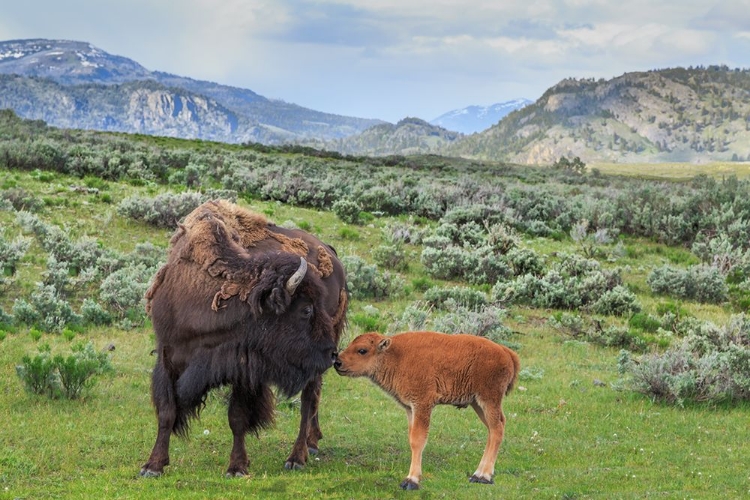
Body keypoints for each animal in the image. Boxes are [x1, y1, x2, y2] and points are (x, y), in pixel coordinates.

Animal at [140, 199, 348, 476]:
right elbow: (166, 412)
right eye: (306, 309)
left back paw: (296, 457)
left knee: (308, 400)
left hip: (311, 366)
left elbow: (236, 417)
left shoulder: (243, 369)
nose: (331, 353)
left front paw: (237, 467)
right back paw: (313, 443)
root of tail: (332, 254)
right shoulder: (167, 355)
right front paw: (153, 465)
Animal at [336, 330, 524, 490]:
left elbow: (418, 440)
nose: (337, 362)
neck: (395, 355)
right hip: (477, 403)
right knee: (494, 428)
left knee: (497, 429)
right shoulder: (410, 408)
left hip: (488, 400)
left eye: (362, 350)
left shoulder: (422, 404)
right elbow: (412, 438)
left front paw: (411, 481)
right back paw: (478, 474)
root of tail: (506, 352)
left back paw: (483, 476)